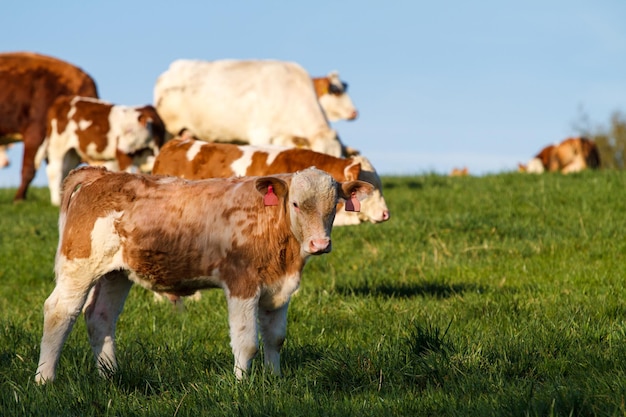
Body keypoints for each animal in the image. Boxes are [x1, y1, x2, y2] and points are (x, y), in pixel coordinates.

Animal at [34, 94, 166, 205]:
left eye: (129, 130)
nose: (119, 147)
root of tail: (63, 99)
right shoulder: (123, 157)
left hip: (72, 152)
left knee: (65, 170)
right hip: (57, 146)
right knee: (54, 170)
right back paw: (56, 201)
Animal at [34, 164, 372, 382]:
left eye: (334, 206)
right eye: (297, 204)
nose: (320, 244)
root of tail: (103, 174)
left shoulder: (279, 288)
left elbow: (275, 338)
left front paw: (275, 380)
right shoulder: (241, 283)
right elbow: (247, 341)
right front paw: (241, 386)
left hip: (115, 273)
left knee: (100, 317)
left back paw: (109, 376)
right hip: (80, 265)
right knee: (59, 311)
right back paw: (45, 379)